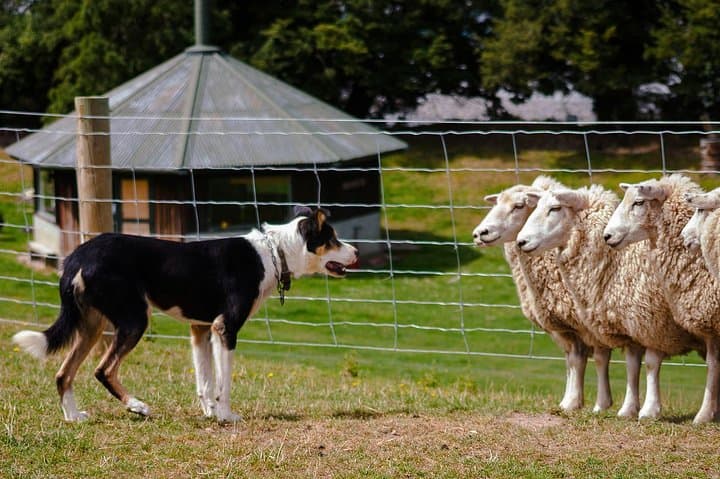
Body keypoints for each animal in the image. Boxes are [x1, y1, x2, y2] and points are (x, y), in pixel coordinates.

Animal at [472, 176, 613, 413]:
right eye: (497, 202)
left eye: (519, 206)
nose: (479, 233)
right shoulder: (565, 326)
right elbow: (572, 360)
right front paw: (570, 401)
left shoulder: (590, 322)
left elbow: (597, 358)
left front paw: (595, 404)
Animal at [517, 184, 702, 420]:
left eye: (555, 208)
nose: (521, 241)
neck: (617, 262)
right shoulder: (621, 326)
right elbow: (625, 364)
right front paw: (623, 407)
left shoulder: (653, 323)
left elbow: (648, 364)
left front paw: (646, 409)